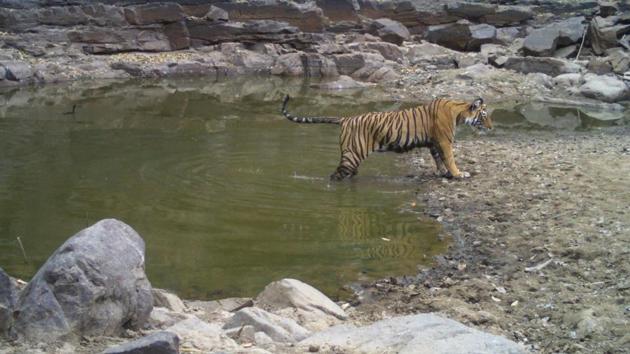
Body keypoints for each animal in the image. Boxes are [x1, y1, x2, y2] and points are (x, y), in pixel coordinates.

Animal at [282, 94, 494, 180]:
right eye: (484, 115)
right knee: (336, 175)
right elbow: (449, 158)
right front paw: (458, 174)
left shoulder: (434, 143)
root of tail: (345, 118)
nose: (492, 128)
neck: (459, 112)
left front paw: (444, 173)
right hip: (352, 155)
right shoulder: (444, 141)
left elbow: (438, 159)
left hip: (351, 156)